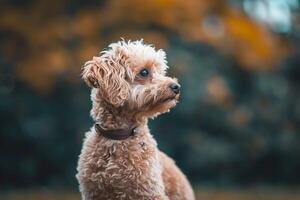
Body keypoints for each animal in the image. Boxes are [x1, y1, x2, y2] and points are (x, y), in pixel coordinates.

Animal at [76, 39, 196, 199]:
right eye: (144, 72)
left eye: (161, 71)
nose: (176, 87)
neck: (119, 137)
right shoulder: (94, 193)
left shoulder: (149, 191)